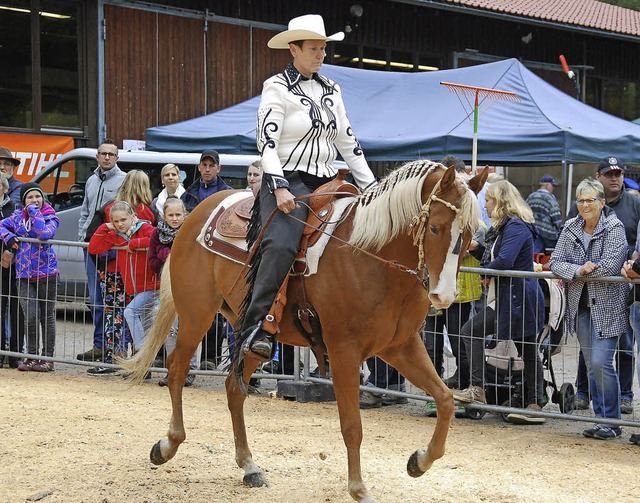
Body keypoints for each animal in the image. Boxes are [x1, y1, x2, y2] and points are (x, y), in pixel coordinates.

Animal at [122, 162, 488, 503]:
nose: (444, 297)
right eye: (436, 227)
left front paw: (419, 461)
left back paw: (249, 467)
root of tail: (194, 214)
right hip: (197, 314)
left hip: (249, 332)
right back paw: (167, 445)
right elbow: (352, 426)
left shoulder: (400, 346)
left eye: (470, 234)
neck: (370, 256)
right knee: (176, 369)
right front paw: (359, 489)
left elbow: (445, 399)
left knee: (233, 388)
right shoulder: (344, 351)